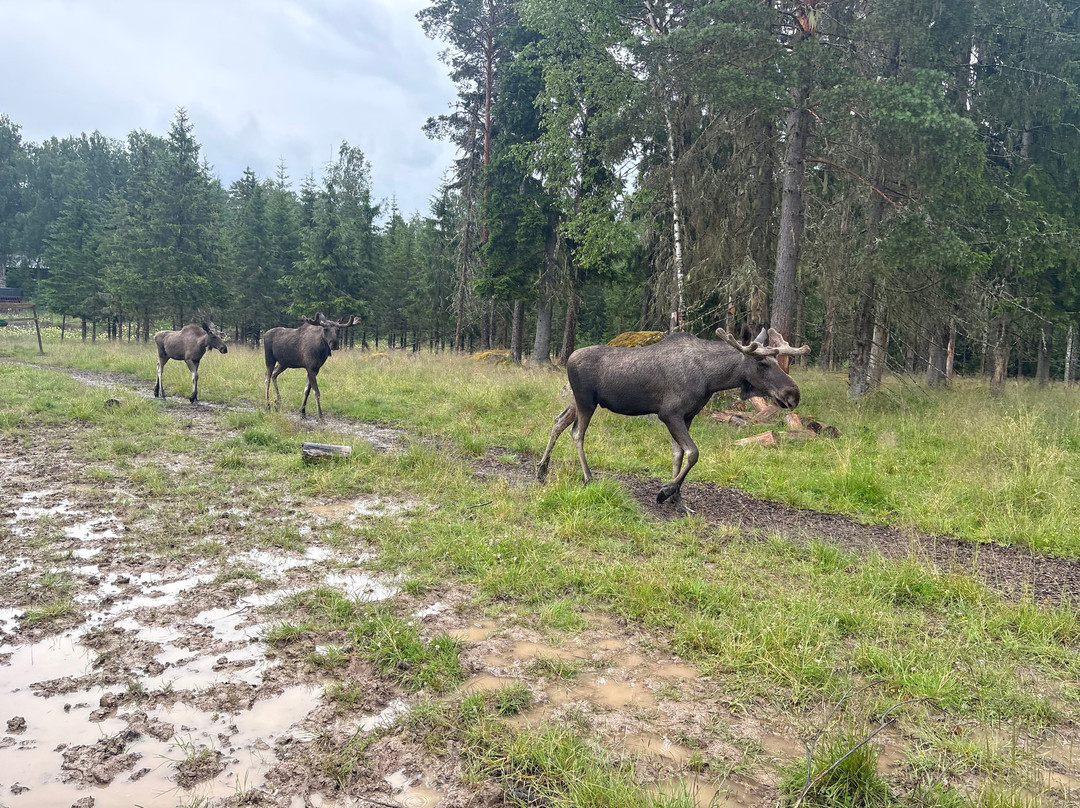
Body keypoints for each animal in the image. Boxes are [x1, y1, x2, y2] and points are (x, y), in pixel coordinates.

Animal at [537, 328, 810, 514]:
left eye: (776, 361)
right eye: (762, 362)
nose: (793, 394)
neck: (711, 379)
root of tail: (569, 358)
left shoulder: (688, 415)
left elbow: (678, 455)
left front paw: (678, 500)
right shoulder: (669, 413)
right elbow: (693, 453)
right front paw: (665, 492)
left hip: (579, 401)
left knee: (558, 421)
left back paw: (542, 470)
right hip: (586, 401)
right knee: (576, 433)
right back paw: (587, 477)